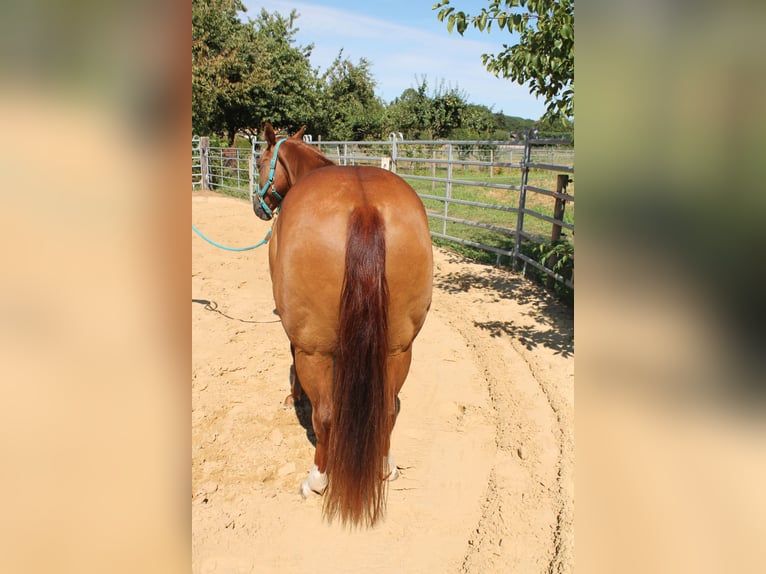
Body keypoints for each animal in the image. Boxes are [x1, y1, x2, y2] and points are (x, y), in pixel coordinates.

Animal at [252, 123, 433, 527]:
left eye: (259, 161)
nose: (258, 206)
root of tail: (364, 207)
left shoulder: (302, 340)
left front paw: (293, 396)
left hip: (315, 351)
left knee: (327, 416)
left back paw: (317, 479)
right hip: (399, 348)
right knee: (388, 408)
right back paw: (385, 467)